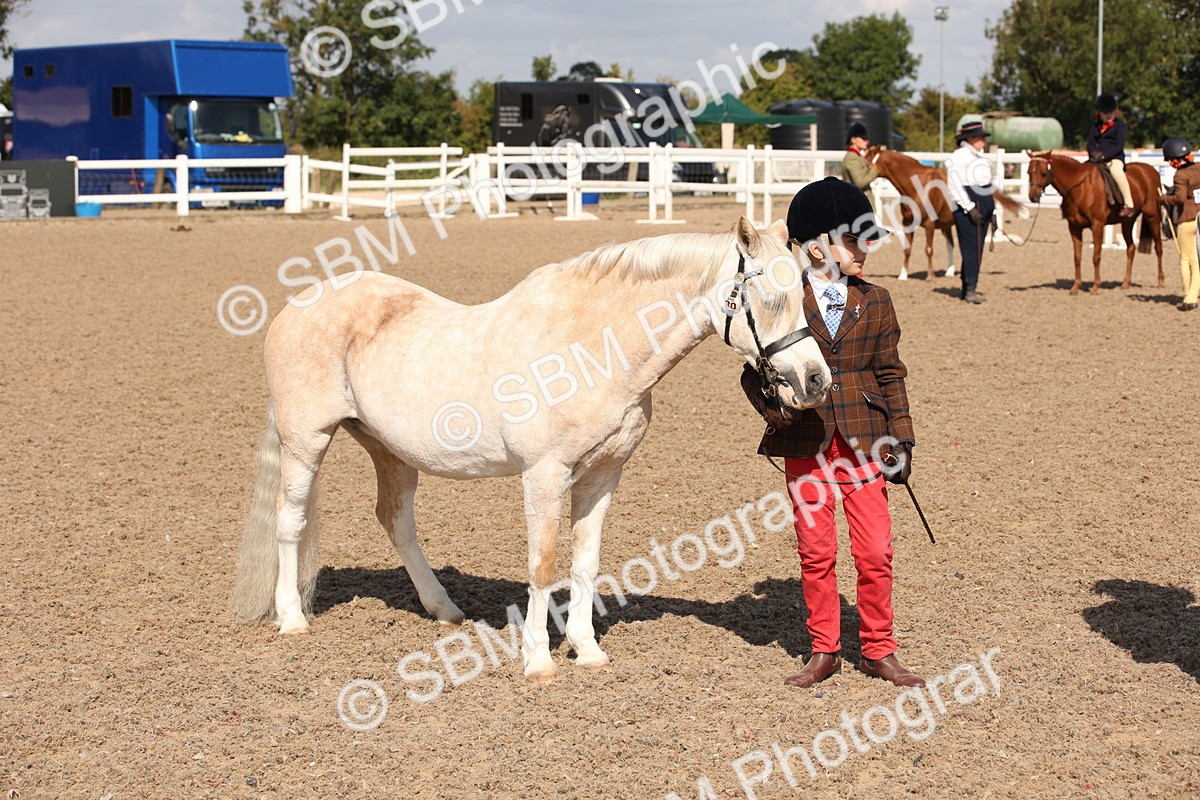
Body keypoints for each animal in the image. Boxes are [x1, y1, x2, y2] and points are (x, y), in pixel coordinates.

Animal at [232, 218, 831, 683]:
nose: (815, 381)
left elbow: (585, 561)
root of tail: (298, 306)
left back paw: (444, 610)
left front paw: (587, 651)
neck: (591, 348)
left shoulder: (602, 476)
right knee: (290, 520)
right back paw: (292, 618)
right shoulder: (544, 475)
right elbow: (543, 565)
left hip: (389, 450)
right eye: (769, 297)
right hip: (306, 442)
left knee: (395, 520)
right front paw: (538, 660)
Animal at [1025, 151, 1164, 294]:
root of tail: (1151, 170)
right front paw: (1075, 287)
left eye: (1043, 173)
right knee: (1131, 248)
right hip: (1127, 221)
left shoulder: (1097, 225)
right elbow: (1077, 257)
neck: (1080, 188)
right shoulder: (1074, 227)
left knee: (1158, 247)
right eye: (1029, 172)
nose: (1032, 196)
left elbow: (1096, 256)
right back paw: (1125, 283)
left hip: (1152, 217)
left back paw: (1160, 282)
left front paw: (1095, 286)